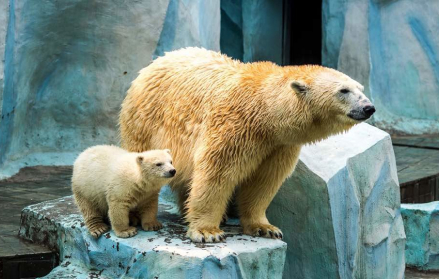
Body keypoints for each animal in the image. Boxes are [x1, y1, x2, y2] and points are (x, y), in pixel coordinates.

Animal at [118, 47, 376, 243]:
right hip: (144, 121)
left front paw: (266, 228)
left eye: (361, 89)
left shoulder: (279, 145)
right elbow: (217, 173)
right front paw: (207, 232)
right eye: (343, 90)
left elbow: (264, 180)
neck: (264, 109)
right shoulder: (234, 128)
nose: (368, 107)